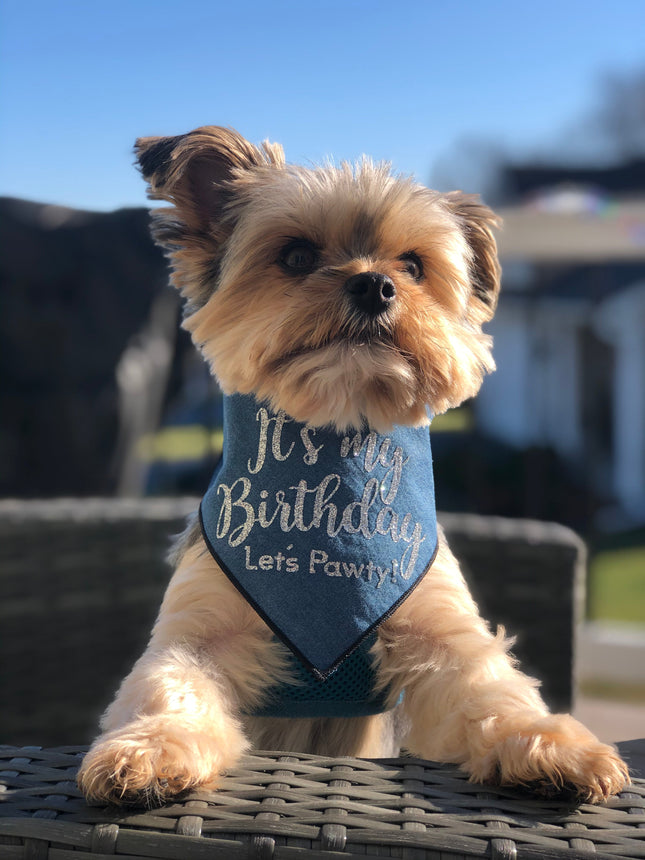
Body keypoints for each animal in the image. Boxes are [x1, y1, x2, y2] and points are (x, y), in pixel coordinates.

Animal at [78, 127, 628, 808]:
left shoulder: (440, 628)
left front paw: (552, 744)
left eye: (413, 266)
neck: (337, 461)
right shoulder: (200, 627)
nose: (374, 284)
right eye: (295, 257)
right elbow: (169, 684)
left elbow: (493, 687)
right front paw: (150, 749)